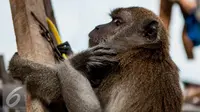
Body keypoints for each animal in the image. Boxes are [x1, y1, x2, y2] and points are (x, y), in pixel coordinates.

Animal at [8, 6, 182, 111]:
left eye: (117, 22)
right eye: (112, 20)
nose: (98, 26)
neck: (144, 51)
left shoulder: (122, 69)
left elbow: (88, 108)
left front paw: (78, 60)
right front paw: (73, 54)